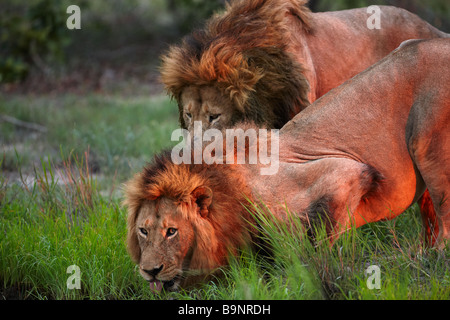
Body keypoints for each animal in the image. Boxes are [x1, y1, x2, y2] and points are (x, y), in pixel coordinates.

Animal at [125, 38, 450, 292]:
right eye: (143, 231)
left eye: (172, 231)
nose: (149, 271)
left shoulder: (342, 172)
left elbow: (315, 242)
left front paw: (312, 273)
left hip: (429, 145)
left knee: (444, 217)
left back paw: (433, 258)